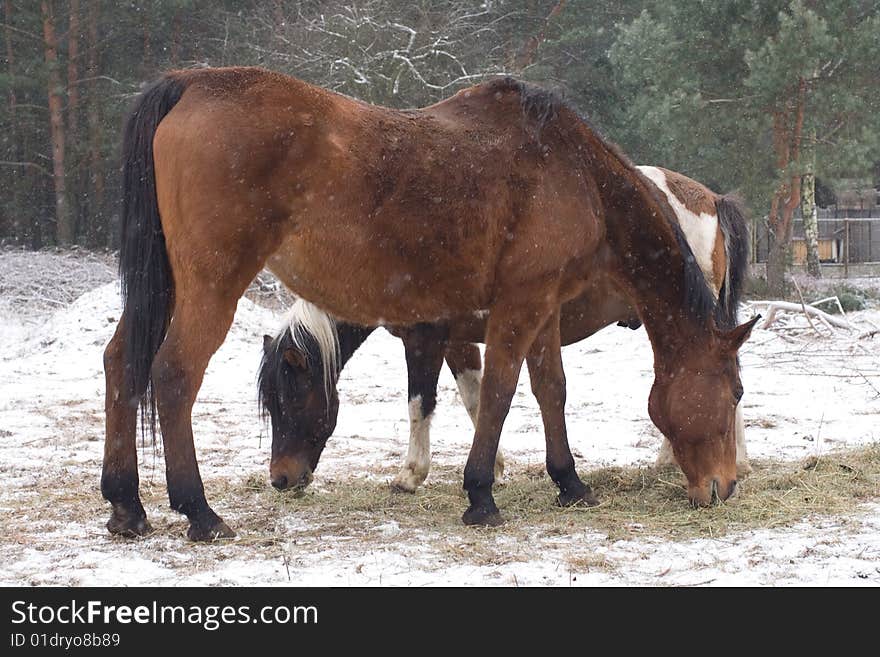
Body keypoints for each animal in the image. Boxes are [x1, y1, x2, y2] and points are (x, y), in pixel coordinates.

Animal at [260, 168, 748, 492]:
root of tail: (709, 198)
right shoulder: (458, 341)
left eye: (289, 400)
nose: (280, 479)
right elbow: (476, 399)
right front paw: (493, 467)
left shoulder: (424, 340)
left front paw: (411, 474)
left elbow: (420, 403)